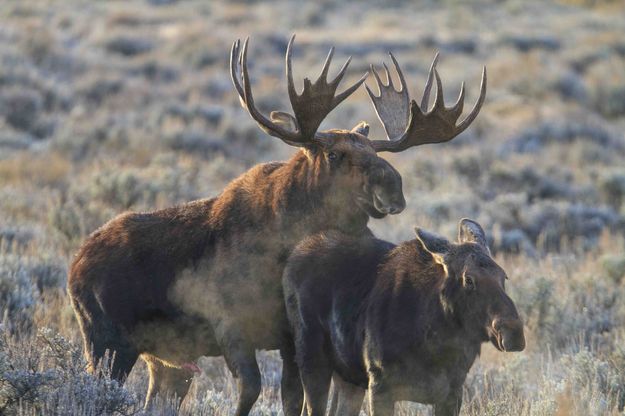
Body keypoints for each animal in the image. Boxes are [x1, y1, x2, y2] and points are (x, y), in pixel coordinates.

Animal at [69, 35, 488, 412]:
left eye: (373, 150)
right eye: (334, 154)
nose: (394, 186)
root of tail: (75, 264)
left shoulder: (290, 340)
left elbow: (291, 398)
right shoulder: (231, 326)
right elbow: (251, 390)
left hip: (164, 359)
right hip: (106, 342)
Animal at [286, 219, 524, 414]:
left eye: (504, 276)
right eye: (468, 279)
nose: (514, 332)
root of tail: (293, 257)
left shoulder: (452, 393)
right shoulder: (380, 385)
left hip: (348, 378)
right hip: (312, 360)